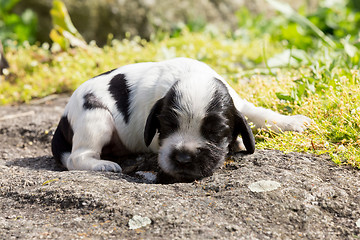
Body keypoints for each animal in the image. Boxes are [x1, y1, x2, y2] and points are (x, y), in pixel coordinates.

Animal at [51, 57, 312, 182]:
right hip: (95, 116)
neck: (192, 75)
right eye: (167, 126)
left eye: (215, 131)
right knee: (76, 157)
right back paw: (102, 164)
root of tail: (62, 118)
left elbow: (259, 113)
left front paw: (291, 122)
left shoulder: (238, 102)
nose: (184, 158)